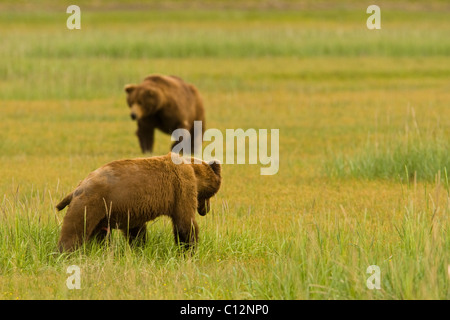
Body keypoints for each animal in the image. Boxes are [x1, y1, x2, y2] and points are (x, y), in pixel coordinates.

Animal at [56, 152, 221, 252]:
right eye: (210, 194)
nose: (206, 210)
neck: (194, 171)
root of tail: (78, 187)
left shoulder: (133, 208)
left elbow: (136, 232)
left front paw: (139, 248)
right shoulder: (181, 187)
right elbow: (185, 223)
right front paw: (189, 249)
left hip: (101, 214)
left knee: (99, 236)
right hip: (90, 204)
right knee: (74, 231)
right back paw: (64, 253)